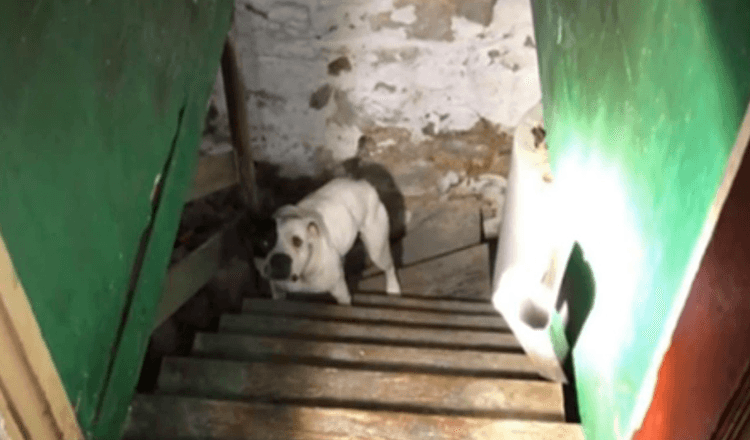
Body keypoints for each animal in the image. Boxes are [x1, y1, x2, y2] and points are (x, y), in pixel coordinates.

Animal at [241, 177, 406, 304]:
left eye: (298, 241)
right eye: (263, 243)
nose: (279, 259)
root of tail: (362, 183)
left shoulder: (342, 295)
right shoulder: (277, 290)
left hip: (377, 248)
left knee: (389, 267)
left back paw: (393, 289)